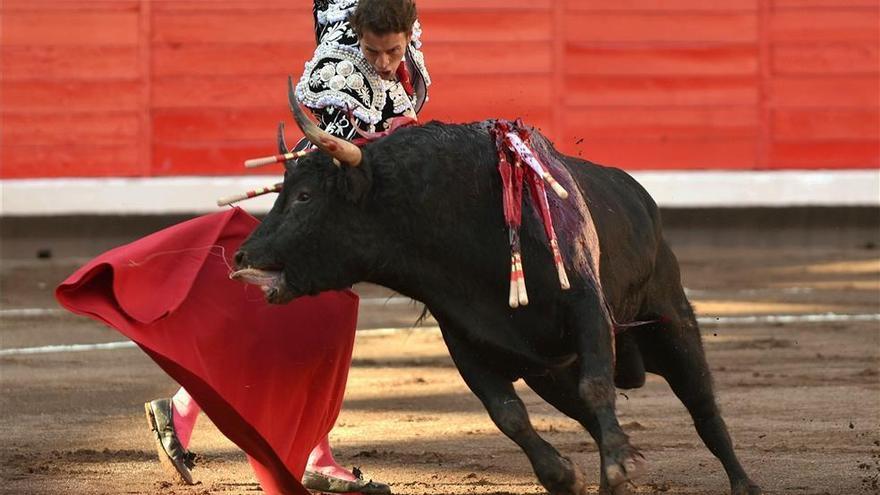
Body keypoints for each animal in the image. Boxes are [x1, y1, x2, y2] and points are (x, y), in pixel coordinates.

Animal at [235, 111, 764, 495]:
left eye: (304, 197)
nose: (242, 256)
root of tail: (640, 195)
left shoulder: (588, 309)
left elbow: (597, 387)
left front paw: (615, 468)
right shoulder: (465, 338)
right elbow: (508, 414)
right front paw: (569, 475)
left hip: (671, 321)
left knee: (702, 406)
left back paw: (743, 484)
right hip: (550, 373)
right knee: (586, 412)